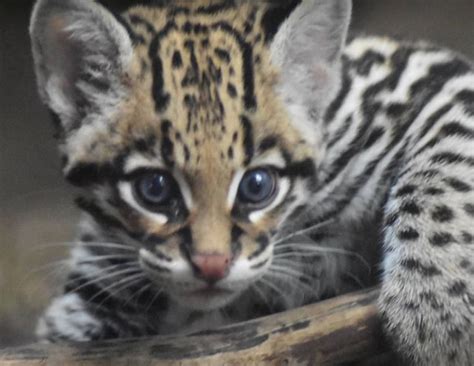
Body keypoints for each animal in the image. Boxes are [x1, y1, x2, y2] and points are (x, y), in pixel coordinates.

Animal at [31, 0, 472, 364]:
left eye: (257, 185)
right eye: (154, 189)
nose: (212, 266)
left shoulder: (440, 82)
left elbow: (441, 168)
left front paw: (435, 315)